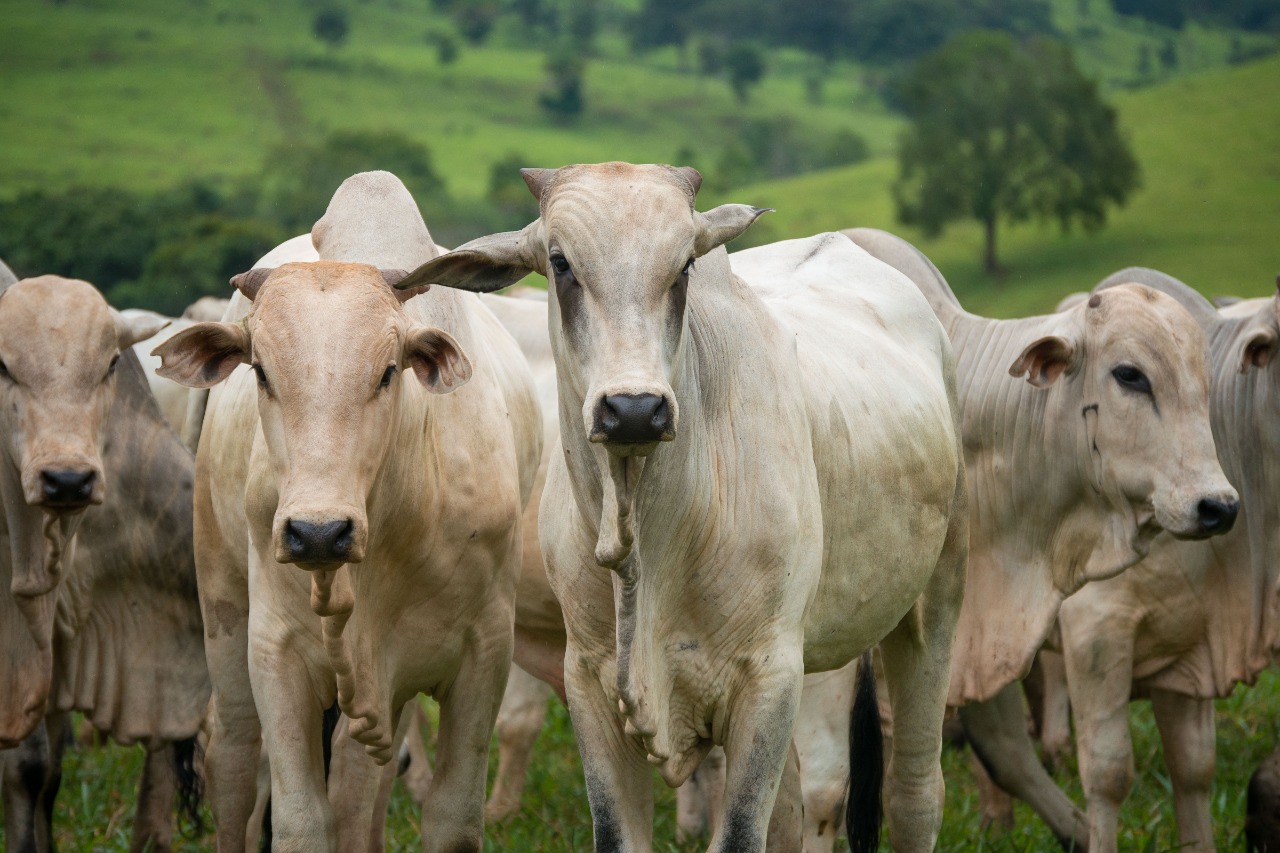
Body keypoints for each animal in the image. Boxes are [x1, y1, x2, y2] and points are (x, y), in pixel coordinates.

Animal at [154, 167, 540, 850]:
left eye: (388, 371)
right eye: (261, 371)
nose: (318, 534)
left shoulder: (485, 652)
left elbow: (446, 816)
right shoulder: (276, 654)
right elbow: (302, 819)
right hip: (223, 608)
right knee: (232, 758)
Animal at [399, 163, 967, 850]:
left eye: (685, 265)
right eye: (560, 263)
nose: (634, 409)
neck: (651, 545)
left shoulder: (770, 679)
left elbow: (741, 831)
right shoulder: (589, 684)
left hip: (932, 603)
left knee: (914, 793)